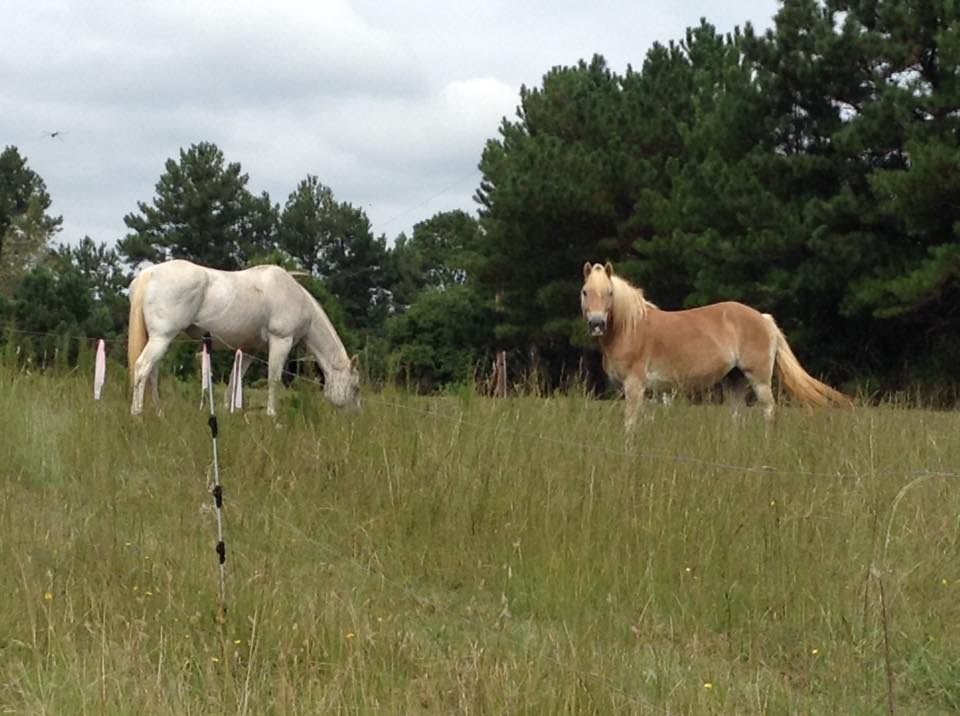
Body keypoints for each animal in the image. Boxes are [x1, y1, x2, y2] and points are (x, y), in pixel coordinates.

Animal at [129, 258, 362, 416]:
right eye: (355, 387)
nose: (355, 416)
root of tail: (149, 274)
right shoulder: (281, 341)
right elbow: (274, 379)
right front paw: (272, 415)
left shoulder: (250, 349)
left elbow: (235, 379)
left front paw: (227, 411)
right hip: (162, 338)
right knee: (142, 369)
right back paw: (137, 414)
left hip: (159, 340)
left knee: (152, 374)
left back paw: (159, 413)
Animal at [580, 264, 852, 428]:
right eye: (585, 291)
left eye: (610, 292)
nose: (597, 324)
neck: (631, 328)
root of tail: (764, 318)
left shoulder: (635, 385)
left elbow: (630, 424)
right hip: (734, 379)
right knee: (737, 416)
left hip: (759, 379)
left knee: (769, 410)